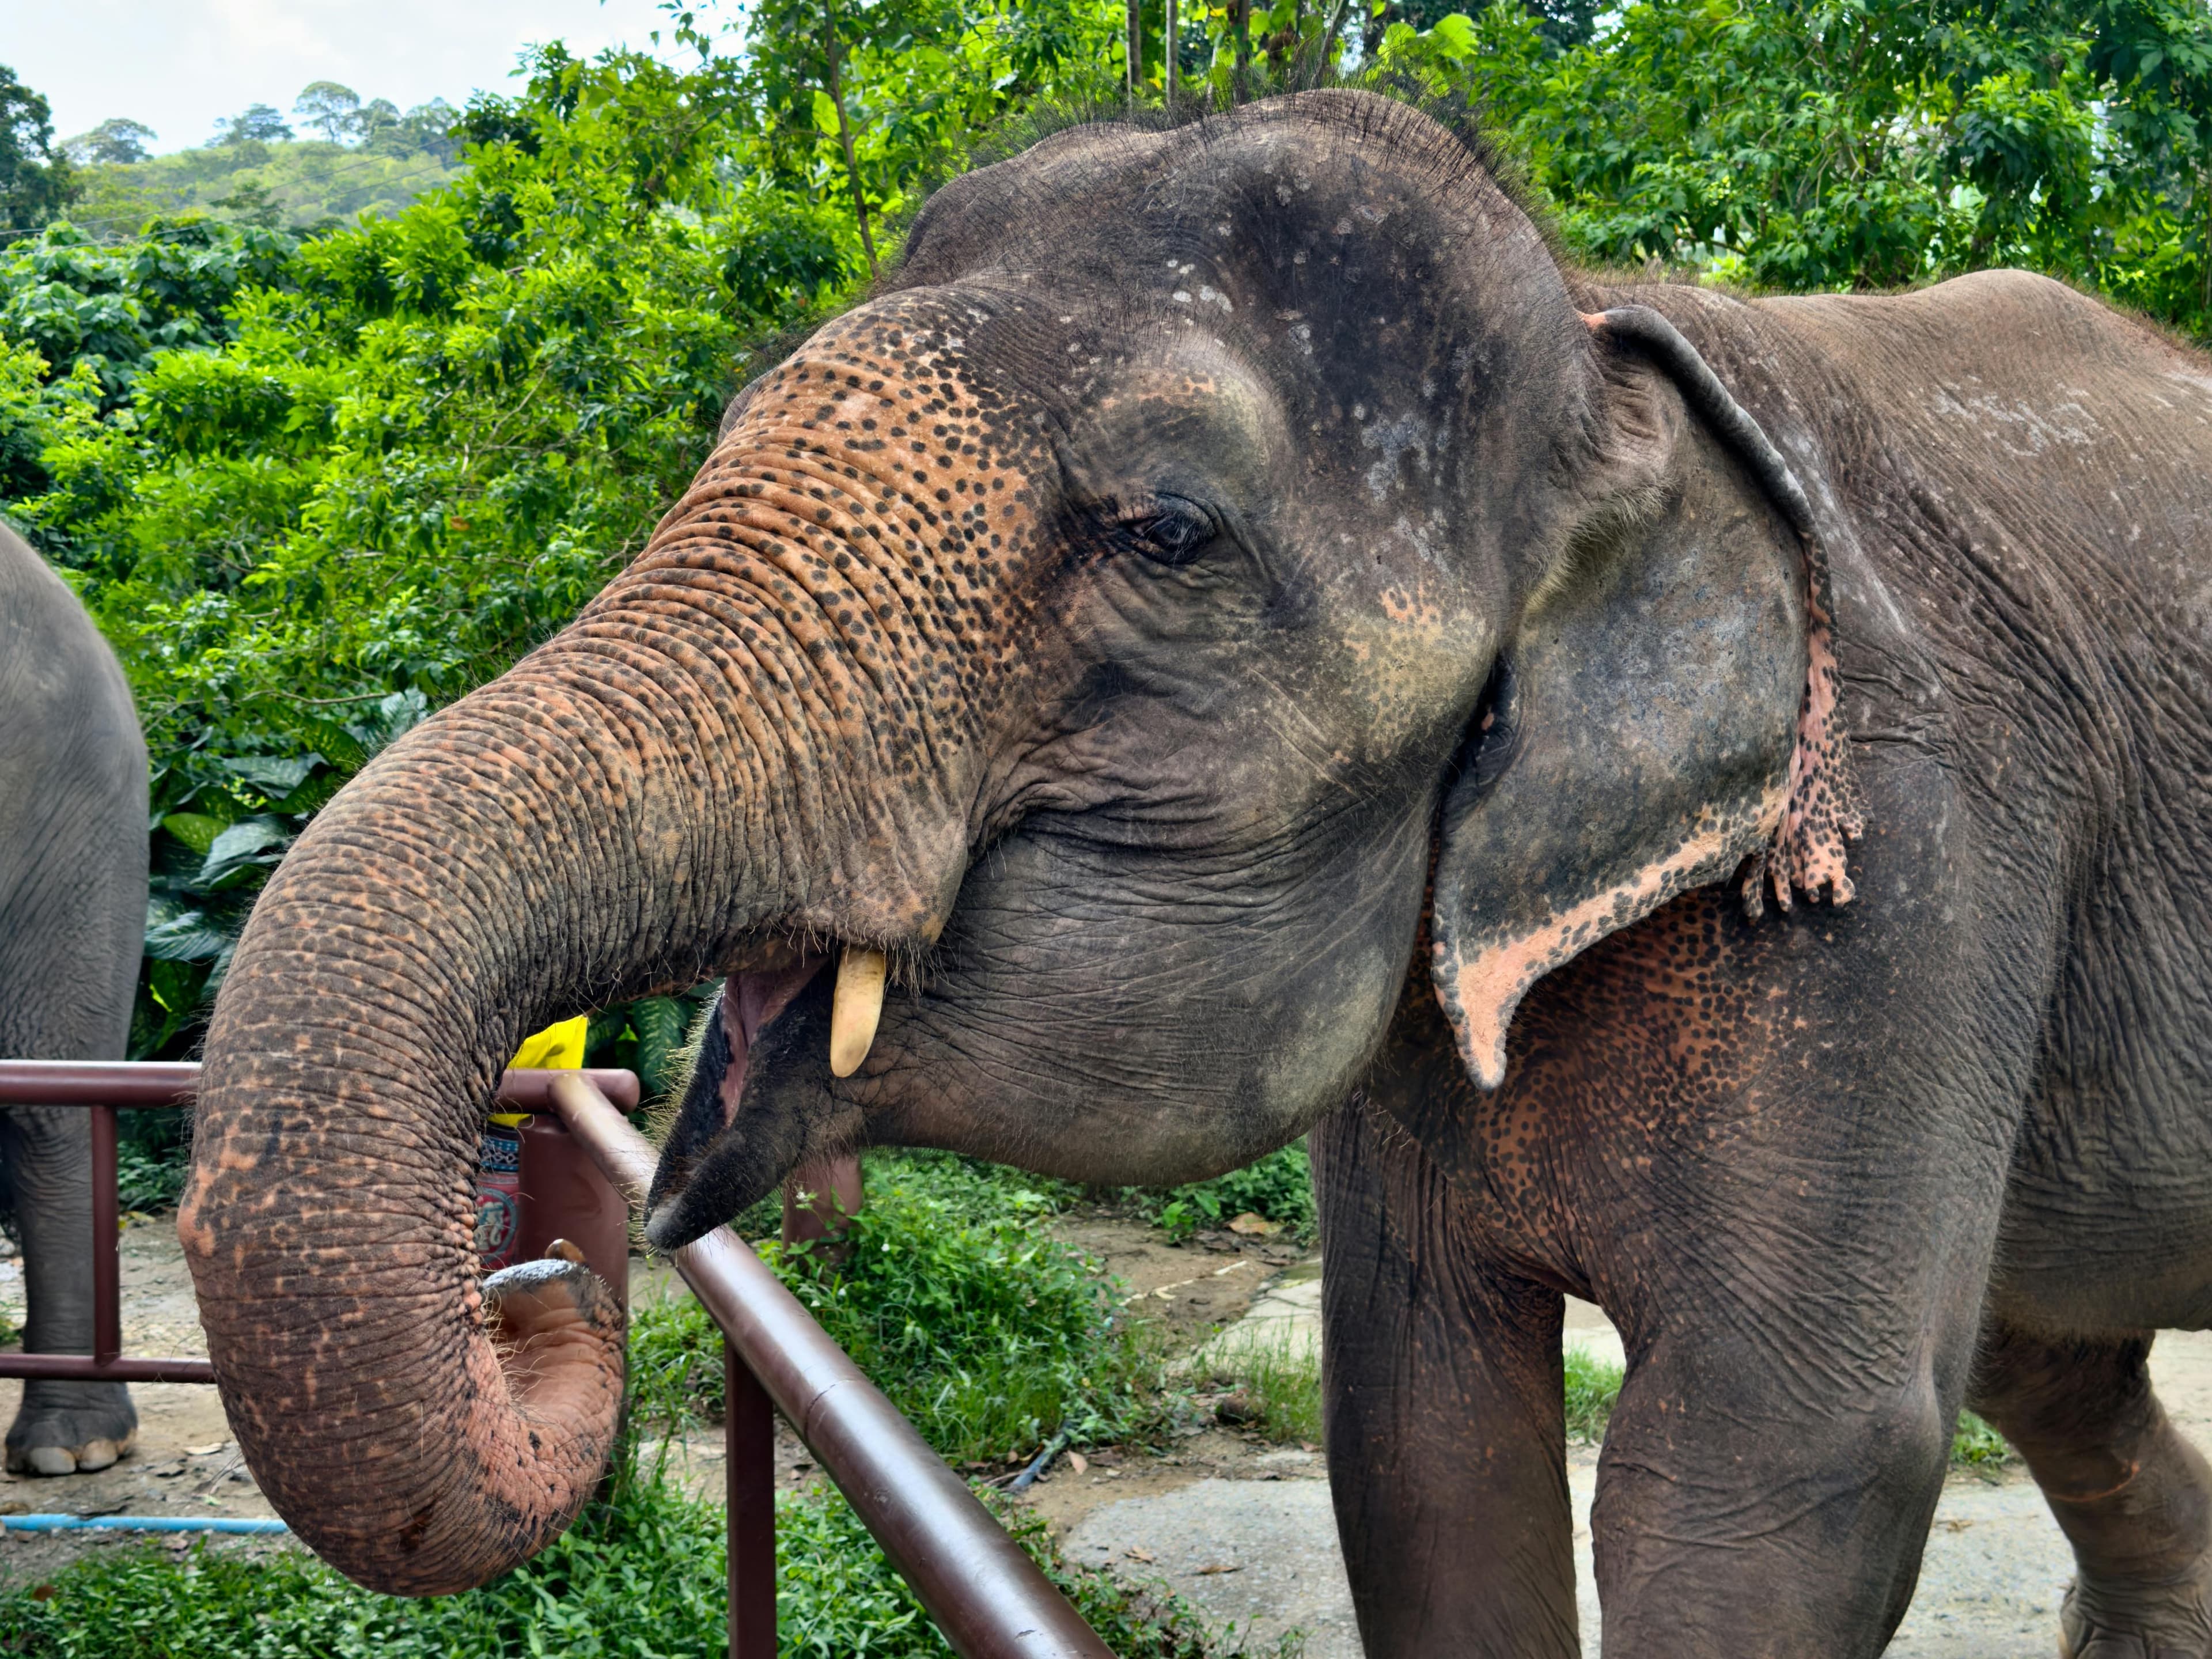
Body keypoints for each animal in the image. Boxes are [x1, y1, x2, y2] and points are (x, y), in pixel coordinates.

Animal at [178, 87, 2212, 1655]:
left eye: (1163, 533)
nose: (538, 1288)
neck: (1602, 340)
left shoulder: (1906, 875)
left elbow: (1780, 1463)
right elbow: (1420, 1435)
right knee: (2050, 1357)